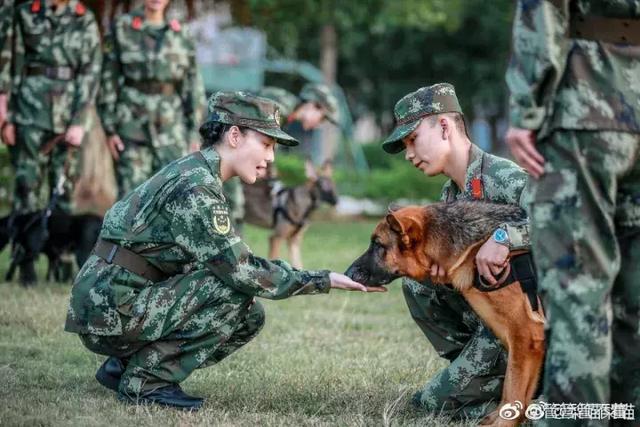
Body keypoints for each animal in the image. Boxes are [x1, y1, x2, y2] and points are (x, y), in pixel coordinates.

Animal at [344, 201, 544, 427]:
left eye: (378, 245)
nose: (347, 274)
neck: (474, 247)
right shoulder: (520, 340)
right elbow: (514, 391)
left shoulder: (526, 335)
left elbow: (514, 390)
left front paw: (503, 424)